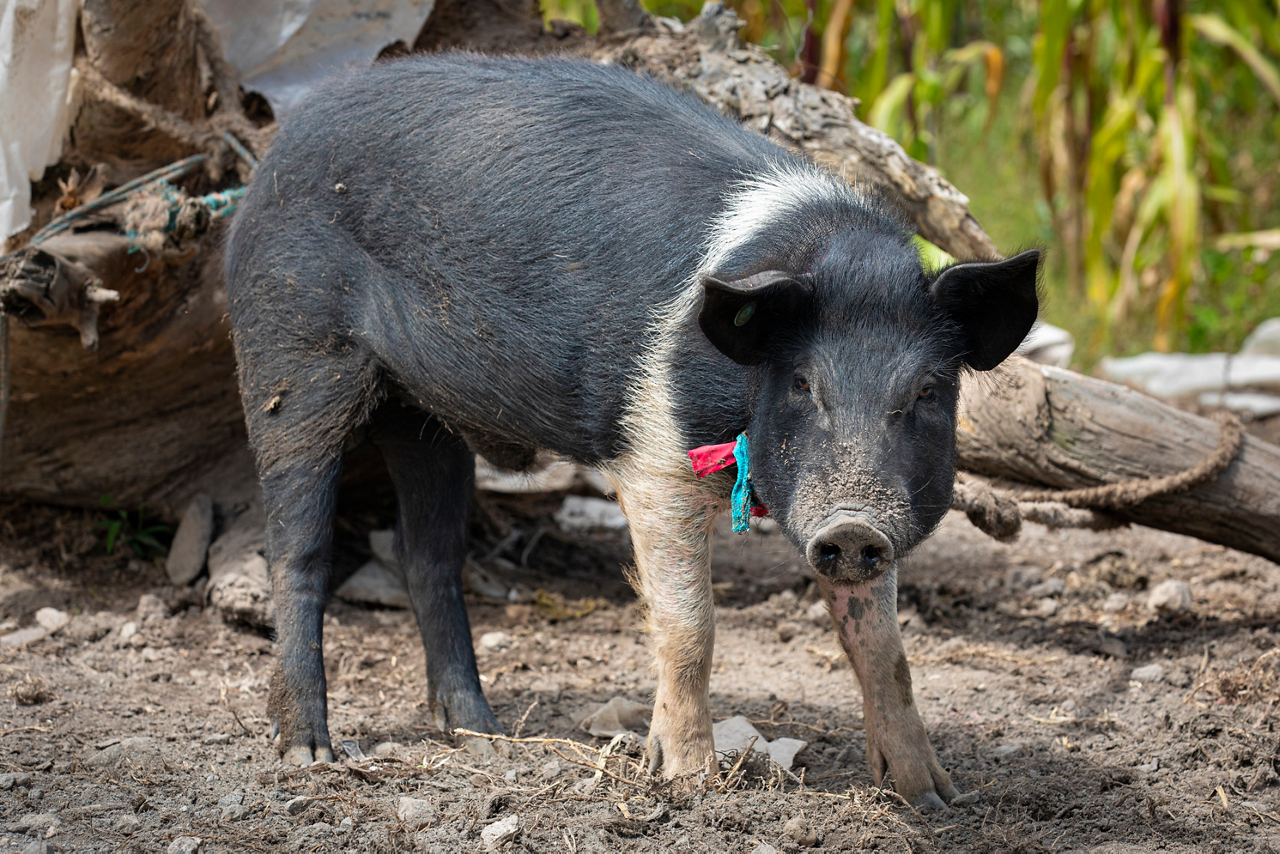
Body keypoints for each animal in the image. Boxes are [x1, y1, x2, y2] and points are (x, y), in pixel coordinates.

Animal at [224, 53, 1039, 808]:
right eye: (804, 384)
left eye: (927, 391)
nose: (852, 525)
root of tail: (281, 145)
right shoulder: (651, 457)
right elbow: (689, 625)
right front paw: (689, 782)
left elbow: (882, 645)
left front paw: (933, 796)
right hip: (287, 348)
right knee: (298, 550)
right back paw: (310, 753)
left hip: (424, 415)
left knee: (430, 558)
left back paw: (481, 733)